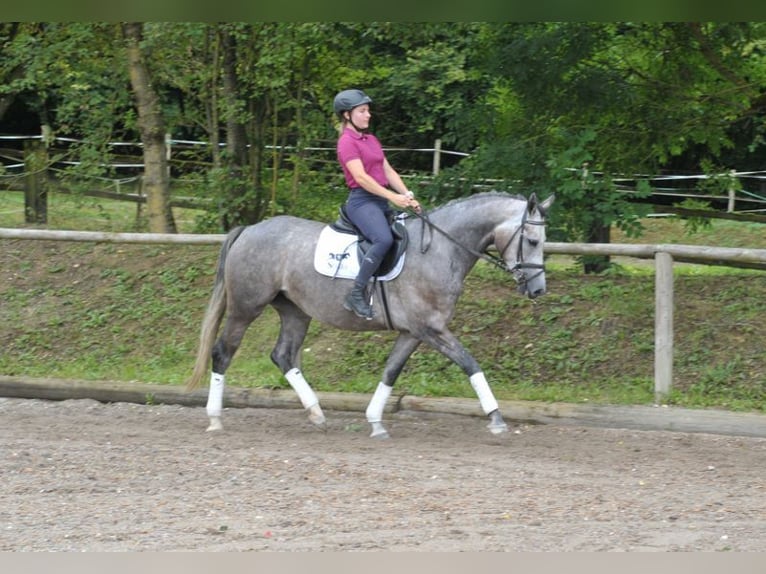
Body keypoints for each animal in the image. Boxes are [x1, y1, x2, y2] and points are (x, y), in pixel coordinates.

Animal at [188, 191, 556, 438]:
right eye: (532, 240)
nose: (538, 290)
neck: (440, 249)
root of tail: (249, 229)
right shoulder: (431, 329)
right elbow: (470, 363)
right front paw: (496, 417)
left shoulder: (413, 332)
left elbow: (391, 371)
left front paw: (375, 421)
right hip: (245, 307)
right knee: (223, 352)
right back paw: (215, 418)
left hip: (295, 311)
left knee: (283, 355)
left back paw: (316, 412)